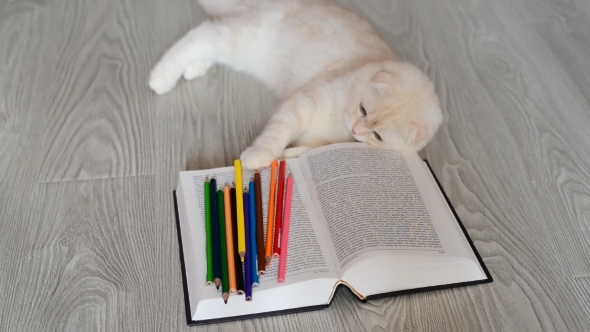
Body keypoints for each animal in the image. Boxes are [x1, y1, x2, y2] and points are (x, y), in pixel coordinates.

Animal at [150, 0, 442, 170]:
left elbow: (311, 148)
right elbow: (276, 134)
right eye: (362, 109)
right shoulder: (300, 105)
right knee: (200, 36)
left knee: (207, 45)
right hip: (242, 39)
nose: (356, 130)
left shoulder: (318, 138)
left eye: (378, 136)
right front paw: (260, 156)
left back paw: (193, 69)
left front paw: (288, 157)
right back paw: (161, 78)